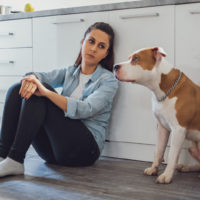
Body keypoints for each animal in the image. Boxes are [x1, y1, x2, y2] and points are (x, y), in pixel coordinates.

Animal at [113, 46, 200, 183]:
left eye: (136, 59)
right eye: (129, 58)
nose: (115, 66)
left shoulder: (178, 130)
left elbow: (172, 155)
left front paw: (166, 176)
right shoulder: (162, 127)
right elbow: (158, 150)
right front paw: (153, 169)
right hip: (193, 147)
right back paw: (186, 167)